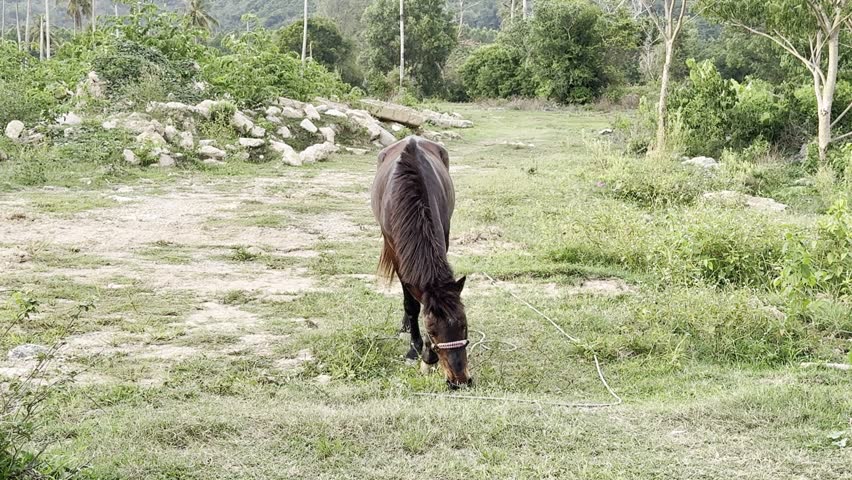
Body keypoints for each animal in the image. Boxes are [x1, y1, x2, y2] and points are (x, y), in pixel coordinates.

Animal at [371, 136, 472, 389]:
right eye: (432, 332)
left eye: (464, 326)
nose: (459, 381)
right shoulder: (397, 254)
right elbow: (412, 304)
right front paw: (416, 350)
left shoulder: (443, 235)